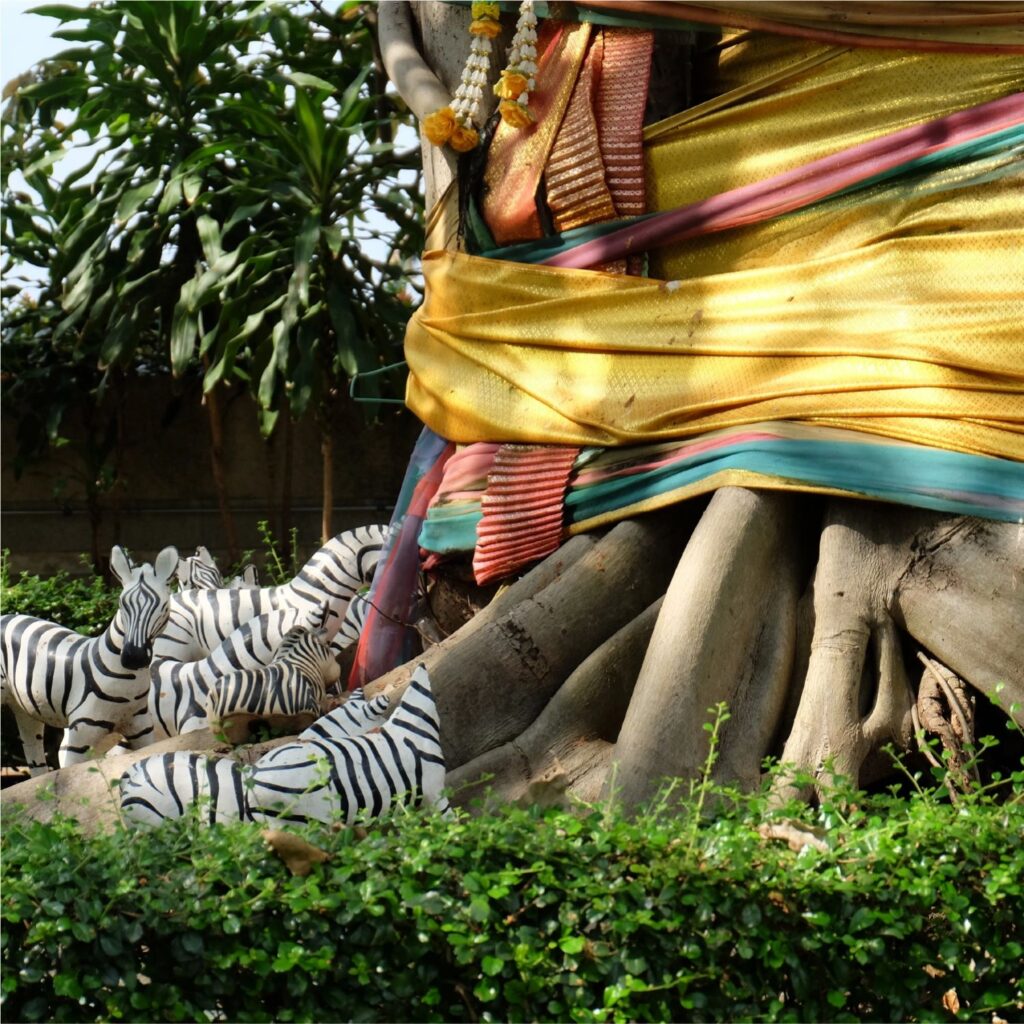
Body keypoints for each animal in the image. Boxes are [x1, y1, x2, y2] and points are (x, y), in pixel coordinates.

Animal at [0, 548, 176, 770]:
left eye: (164, 607)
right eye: (122, 604)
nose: (133, 657)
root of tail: (5, 616)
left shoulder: (141, 727)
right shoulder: (79, 733)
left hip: (24, 707)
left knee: (34, 752)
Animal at [205, 622, 342, 745]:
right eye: (329, 648)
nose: (339, 669)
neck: (303, 664)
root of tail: (214, 694)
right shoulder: (317, 703)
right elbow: (325, 708)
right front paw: (335, 702)